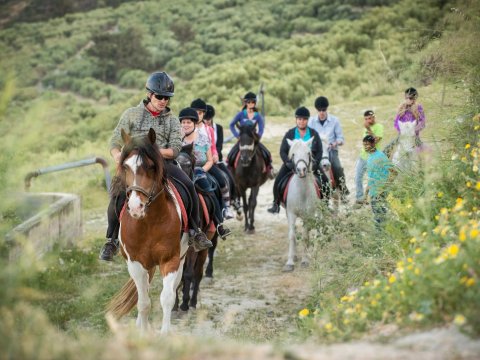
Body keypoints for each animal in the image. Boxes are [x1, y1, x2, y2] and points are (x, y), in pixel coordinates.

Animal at [107, 128, 189, 334]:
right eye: (125, 166)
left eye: (151, 166)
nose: (136, 207)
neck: (148, 223)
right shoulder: (135, 263)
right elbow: (143, 302)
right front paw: (143, 333)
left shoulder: (170, 260)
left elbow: (167, 298)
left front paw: (165, 334)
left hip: (181, 258)